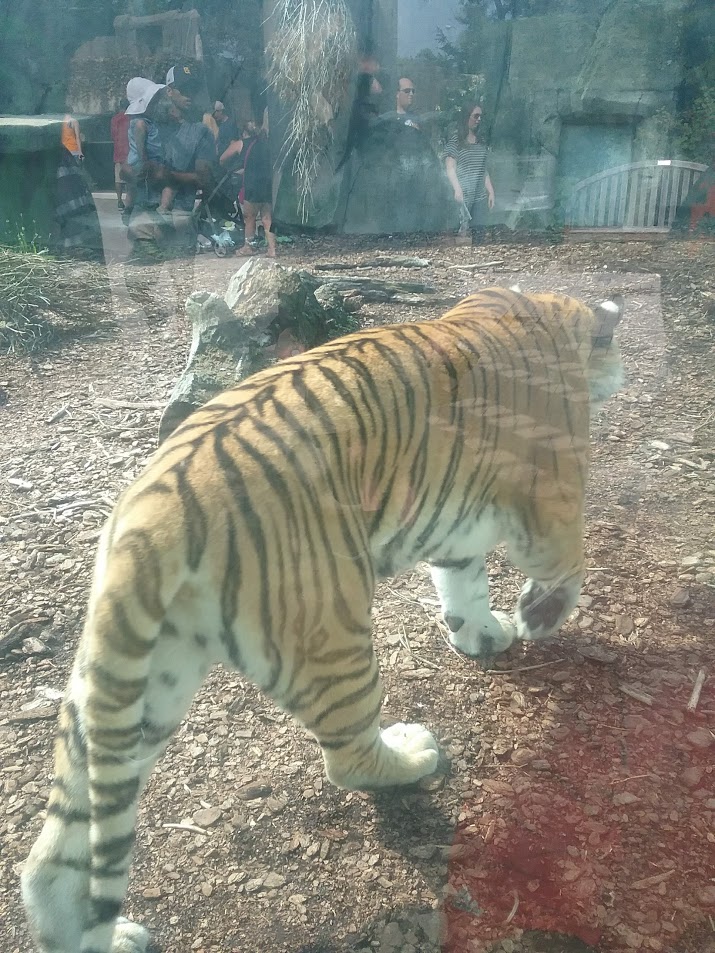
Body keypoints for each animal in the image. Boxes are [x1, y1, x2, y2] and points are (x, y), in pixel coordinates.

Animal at [21, 286, 624, 953]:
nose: (622, 372)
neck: (547, 314)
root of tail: (147, 525)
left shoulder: (457, 525)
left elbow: (463, 581)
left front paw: (481, 633)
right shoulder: (553, 494)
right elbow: (567, 560)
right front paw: (537, 616)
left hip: (136, 693)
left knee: (54, 853)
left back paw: (97, 933)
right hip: (334, 635)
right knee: (349, 757)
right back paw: (416, 755)